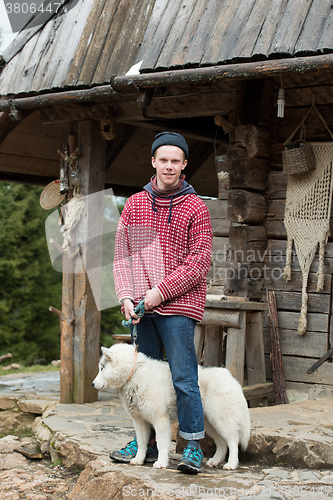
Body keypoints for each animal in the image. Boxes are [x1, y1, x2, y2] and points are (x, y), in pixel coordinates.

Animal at [91, 344, 249, 468]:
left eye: (101, 368)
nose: (92, 384)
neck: (134, 373)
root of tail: (231, 378)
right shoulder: (140, 421)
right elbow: (142, 443)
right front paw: (138, 459)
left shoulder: (160, 420)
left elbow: (161, 444)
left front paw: (161, 462)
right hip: (209, 423)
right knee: (222, 443)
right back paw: (215, 461)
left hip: (221, 420)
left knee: (233, 442)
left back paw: (231, 464)